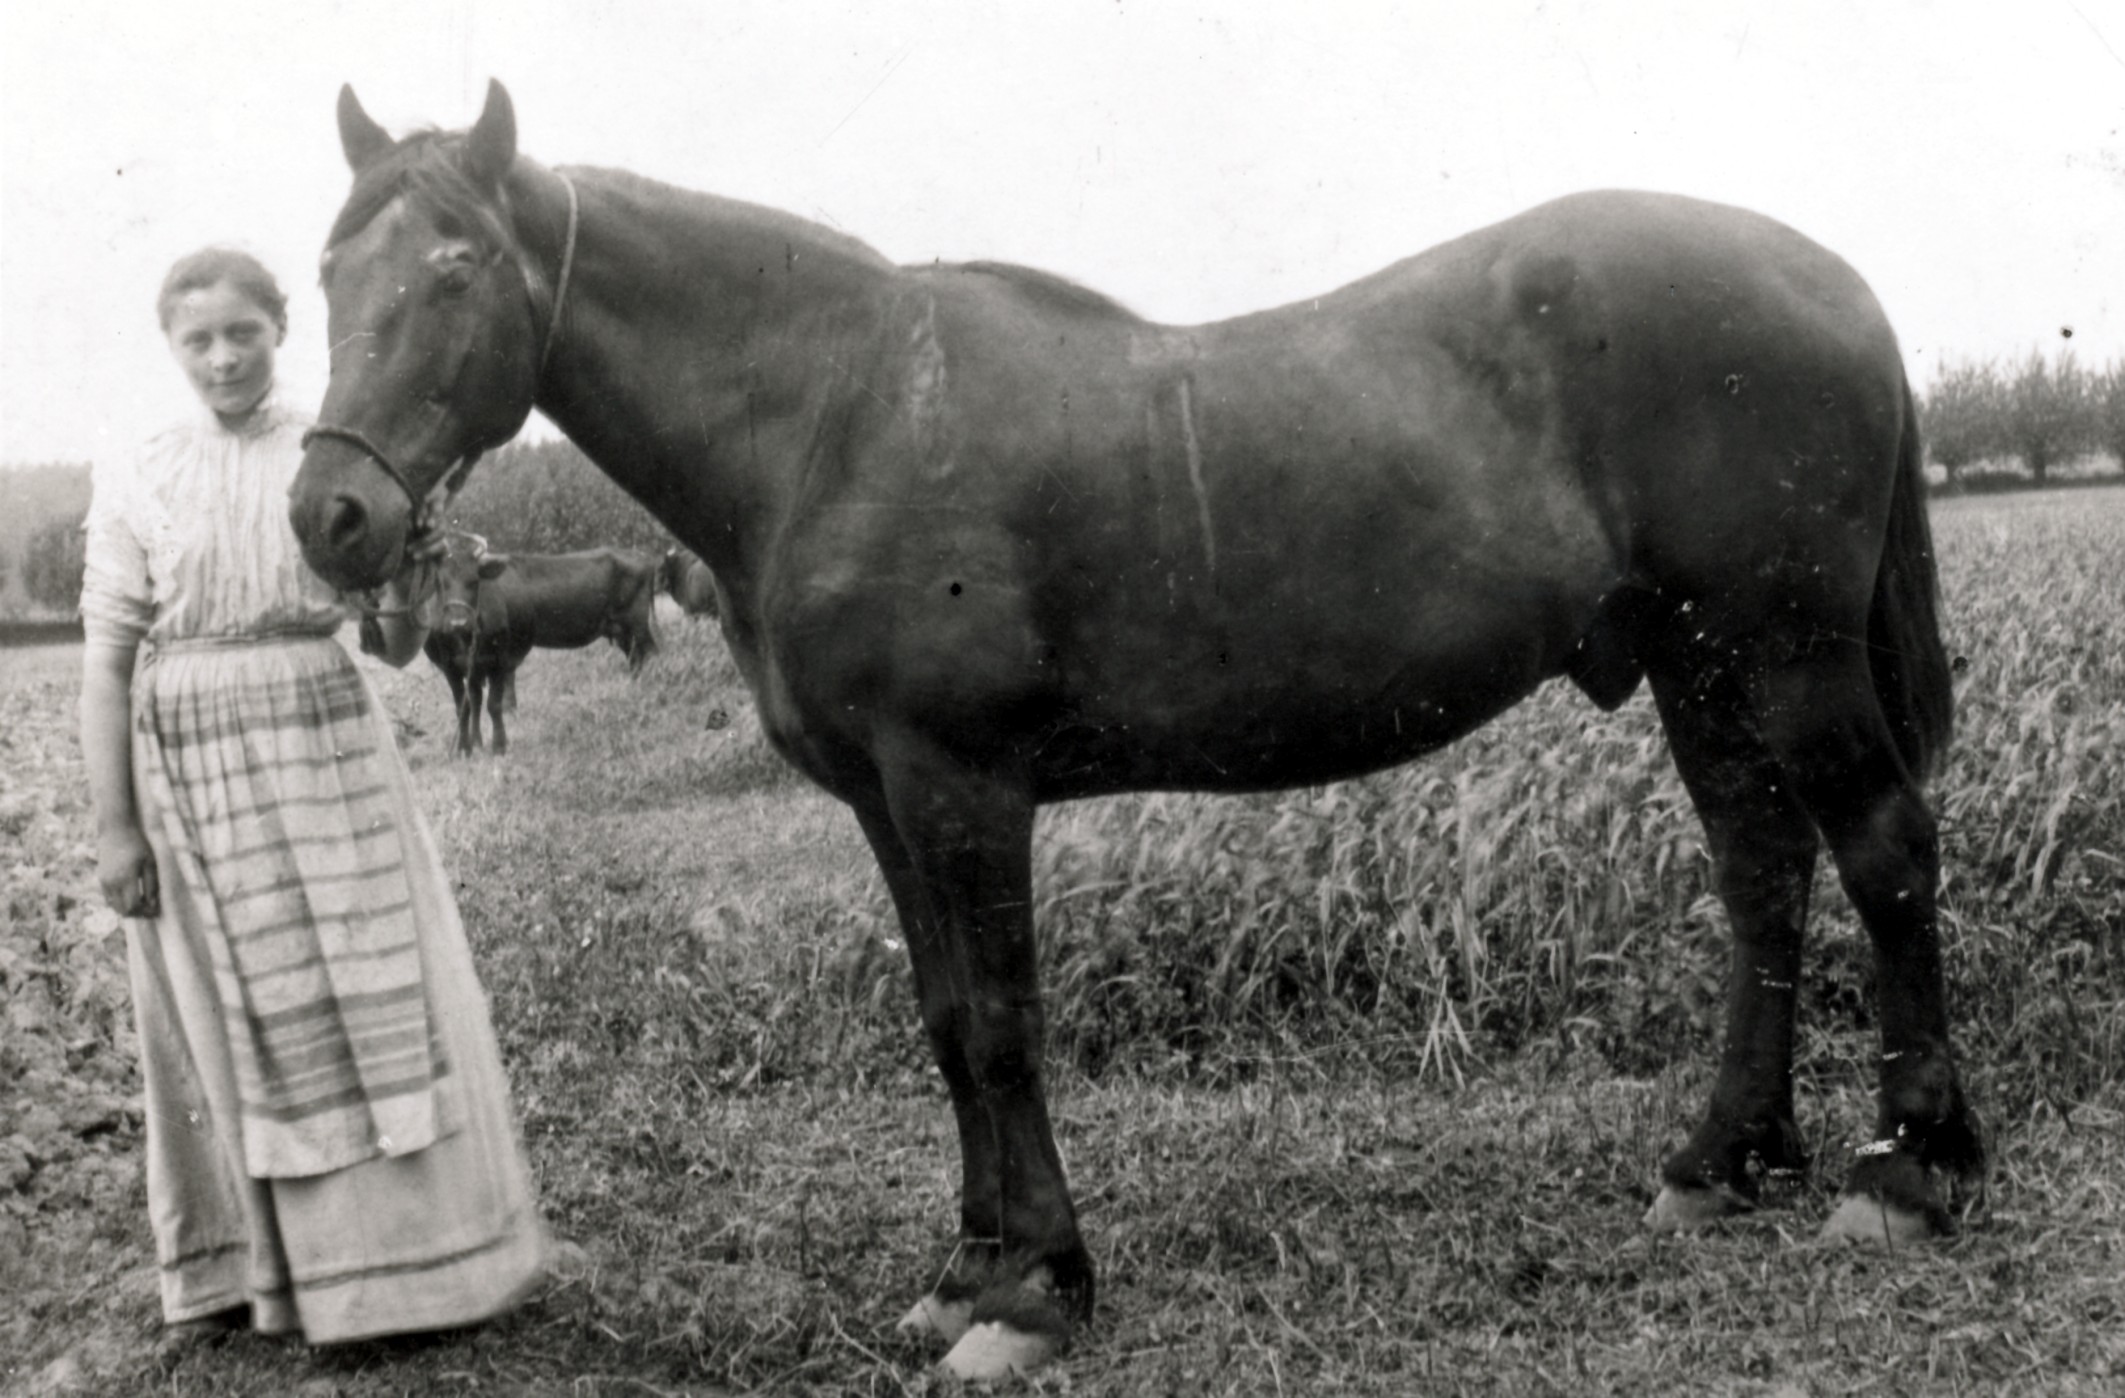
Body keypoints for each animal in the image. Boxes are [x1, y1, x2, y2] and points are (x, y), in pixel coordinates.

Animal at [291, 81, 1980, 1376]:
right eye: (327, 274)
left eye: (455, 266)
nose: (330, 513)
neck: (840, 413)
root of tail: (1833, 281)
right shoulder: (884, 801)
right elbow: (942, 1019)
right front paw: (965, 1270)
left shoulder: (961, 786)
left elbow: (1000, 1022)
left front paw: (1036, 1288)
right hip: (1703, 669)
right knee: (1762, 870)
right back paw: (1721, 1163)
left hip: (1786, 655)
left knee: (1882, 849)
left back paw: (1910, 1175)